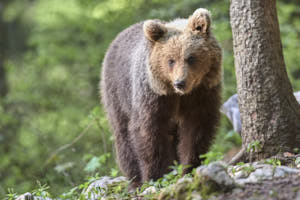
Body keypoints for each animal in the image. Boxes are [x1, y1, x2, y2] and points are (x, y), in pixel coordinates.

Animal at [101, 8, 223, 188]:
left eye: (191, 58)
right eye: (170, 60)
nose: (180, 82)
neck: (179, 96)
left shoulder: (201, 94)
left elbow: (195, 131)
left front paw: (189, 167)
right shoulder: (153, 97)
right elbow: (150, 133)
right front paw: (155, 176)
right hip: (117, 93)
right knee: (123, 137)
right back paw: (134, 180)